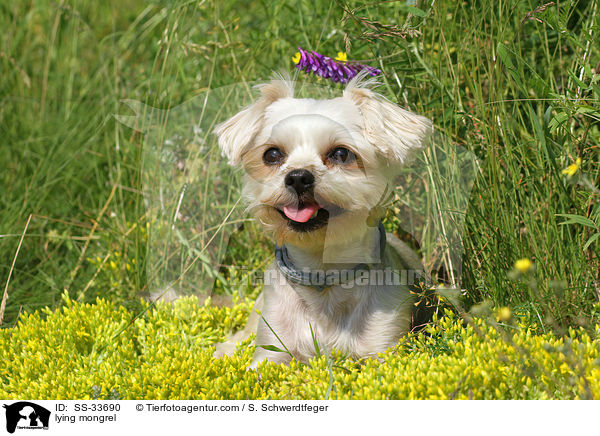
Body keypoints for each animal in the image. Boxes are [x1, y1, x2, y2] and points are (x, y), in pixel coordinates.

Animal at [213, 72, 434, 368]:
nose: (297, 177)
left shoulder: (385, 349)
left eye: (341, 154)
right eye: (272, 154)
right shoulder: (271, 351)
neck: (322, 273)